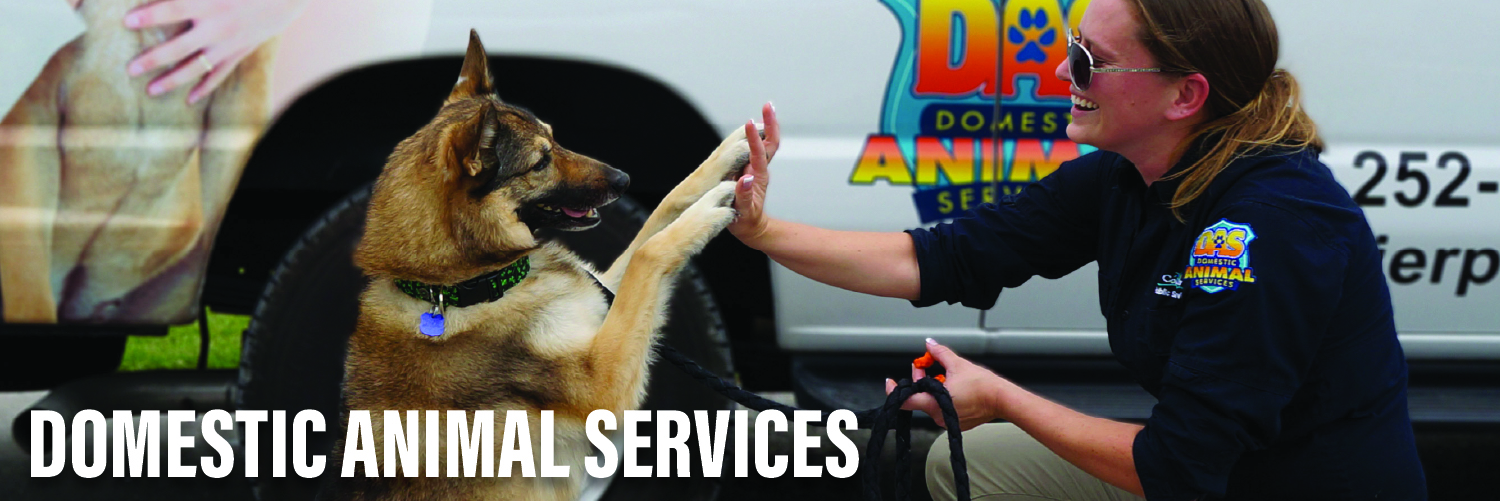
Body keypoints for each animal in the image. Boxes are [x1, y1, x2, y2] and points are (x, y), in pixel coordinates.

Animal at [330, 29, 750, 498]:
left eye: (556, 139)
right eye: (541, 161)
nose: (624, 180)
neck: (460, 286)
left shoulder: (602, 295)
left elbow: (662, 211)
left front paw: (725, 156)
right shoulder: (602, 385)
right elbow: (648, 253)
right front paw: (707, 212)